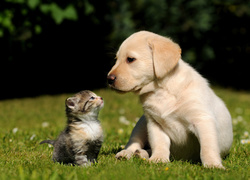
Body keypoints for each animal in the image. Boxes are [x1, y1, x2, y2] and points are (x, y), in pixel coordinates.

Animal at [107, 31, 232, 169]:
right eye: (116, 59)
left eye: (130, 59)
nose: (109, 79)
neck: (161, 91)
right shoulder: (154, 123)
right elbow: (160, 143)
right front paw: (158, 159)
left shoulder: (202, 120)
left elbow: (207, 147)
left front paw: (213, 165)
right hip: (141, 124)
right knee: (134, 142)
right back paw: (127, 153)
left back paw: (141, 154)